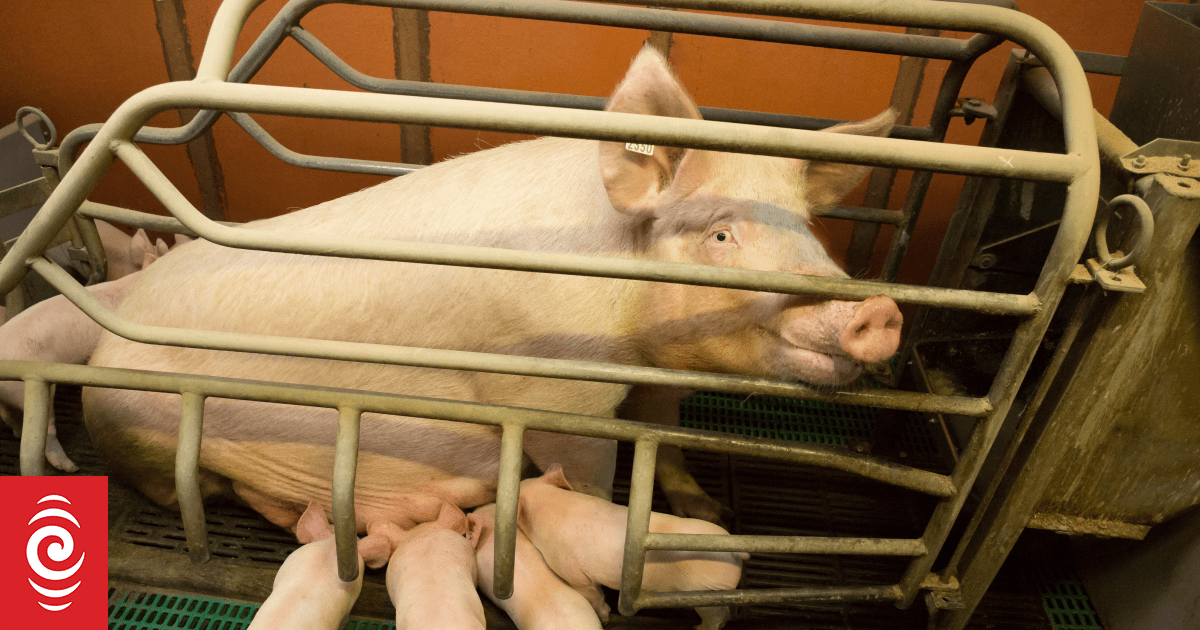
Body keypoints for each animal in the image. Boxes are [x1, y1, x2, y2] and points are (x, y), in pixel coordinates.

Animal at [81, 46, 900, 549]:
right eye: (720, 234)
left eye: (808, 228)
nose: (877, 311)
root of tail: (102, 340)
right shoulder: (554, 391)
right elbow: (592, 480)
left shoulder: (654, 381)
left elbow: (664, 443)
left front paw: (713, 512)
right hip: (149, 436)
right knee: (198, 492)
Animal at [516, 465, 746, 630]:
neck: (549, 504)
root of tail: (735, 552)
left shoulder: (573, 573)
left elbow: (593, 594)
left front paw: (605, 618)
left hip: (705, 593)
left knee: (718, 617)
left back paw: (698, 628)